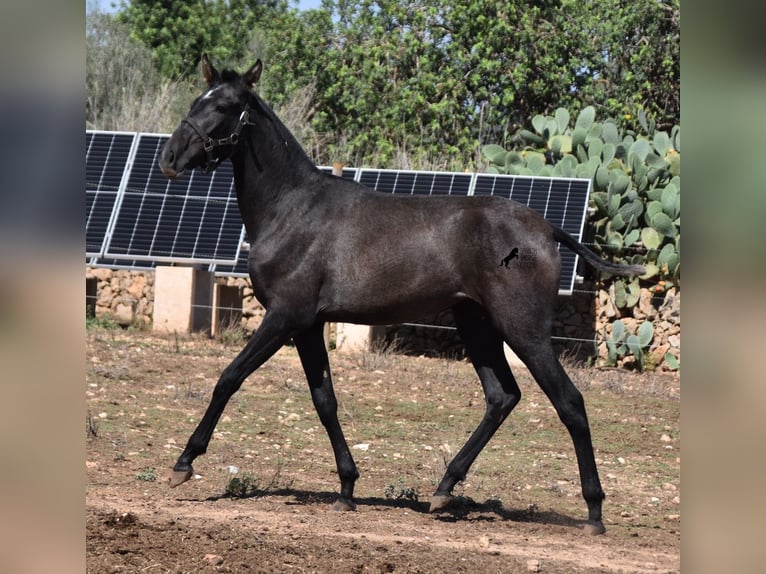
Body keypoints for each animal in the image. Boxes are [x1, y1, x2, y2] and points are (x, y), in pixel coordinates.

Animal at [159, 56, 644, 536]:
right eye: (197, 98)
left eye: (224, 105)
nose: (169, 158)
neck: (292, 209)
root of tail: (546, 229)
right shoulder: (310, 325)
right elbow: (324, 401)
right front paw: (347, 488)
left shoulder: (284, 317)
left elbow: (229, 378)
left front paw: (184, 462)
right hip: (476, 324)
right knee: (502, 396)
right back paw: (444, 488)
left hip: (523, 329)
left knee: (569, 403)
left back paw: (594, 512)